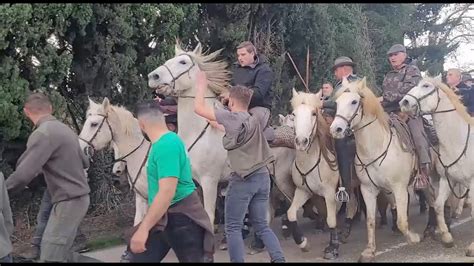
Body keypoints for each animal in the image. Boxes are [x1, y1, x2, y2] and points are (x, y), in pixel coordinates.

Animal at [148, 42, 296, 230]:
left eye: (182, 62)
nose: (153, 76)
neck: (200, 132)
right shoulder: (195, 184)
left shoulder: (209, 182)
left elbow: (209, 216)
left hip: (283, 180)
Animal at [286, 88, 338, 258]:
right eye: (293, 114)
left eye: (314, 113)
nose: (301, 142)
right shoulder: (303, 191)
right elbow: (291, 213)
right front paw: (302, 242)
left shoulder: (329, 193)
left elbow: (331, 219)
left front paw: (333, 248)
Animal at [328, 77, 420, 262]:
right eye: (337, 102)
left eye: (354, 101)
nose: (336, 129)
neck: (376, 148)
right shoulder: (368, 189)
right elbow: (370, 220)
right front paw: (369, 251)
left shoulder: (399, 187)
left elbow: (401, 221)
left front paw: (413, 238)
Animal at [400, 76, 474, 256]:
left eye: (426, 85)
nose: (404, 102)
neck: (458, 141)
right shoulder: (447, 180)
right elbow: (439, 205)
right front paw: (447, 238)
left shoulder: (472, 182)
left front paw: (472, 247)